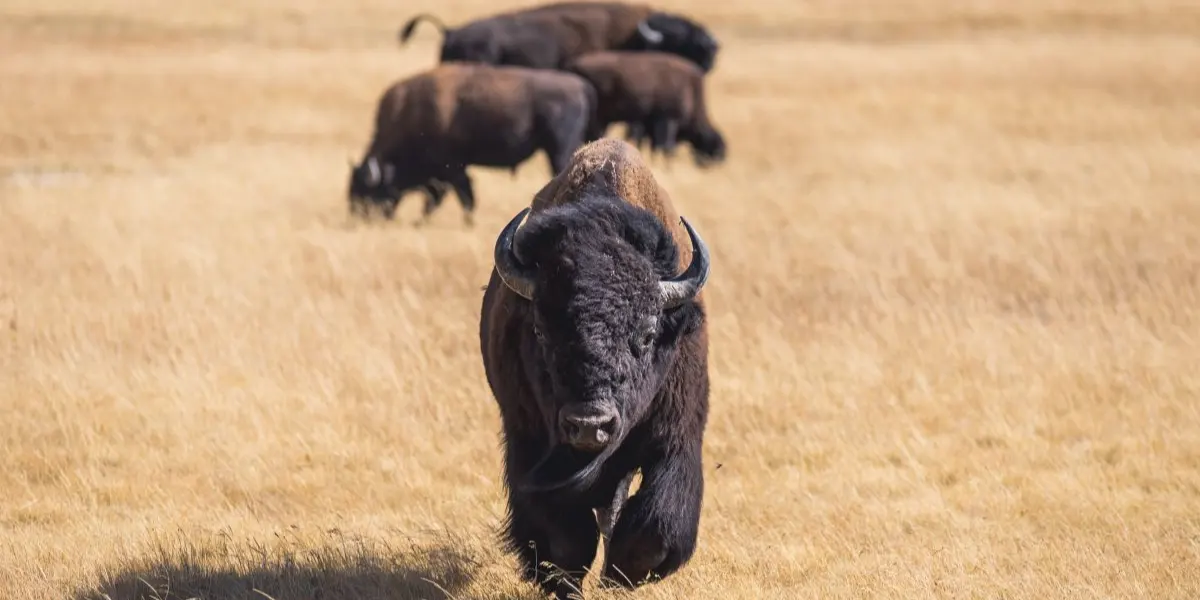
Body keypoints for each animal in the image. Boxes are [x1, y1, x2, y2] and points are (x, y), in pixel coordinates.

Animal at [347, 63, 595, 225]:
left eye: (367, 191)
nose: (360, 217)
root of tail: (581, 86)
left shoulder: (452, 169)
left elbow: (459, 196)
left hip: (558, 147)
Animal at [478, 138, 713, 598]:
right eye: (540, 331)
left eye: (647, 333)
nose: (590, 425)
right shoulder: (530, 444)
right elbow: (565, 537)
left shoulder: (676, 436)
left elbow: (655, 527)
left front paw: (617, 579)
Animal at [569, 51, 727, 167]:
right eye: (714, 147)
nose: (711, 164)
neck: (691, 89)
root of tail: (574, 65)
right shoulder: (668, 120)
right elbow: (666, 147)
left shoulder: (649, 123)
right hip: (599, 118)